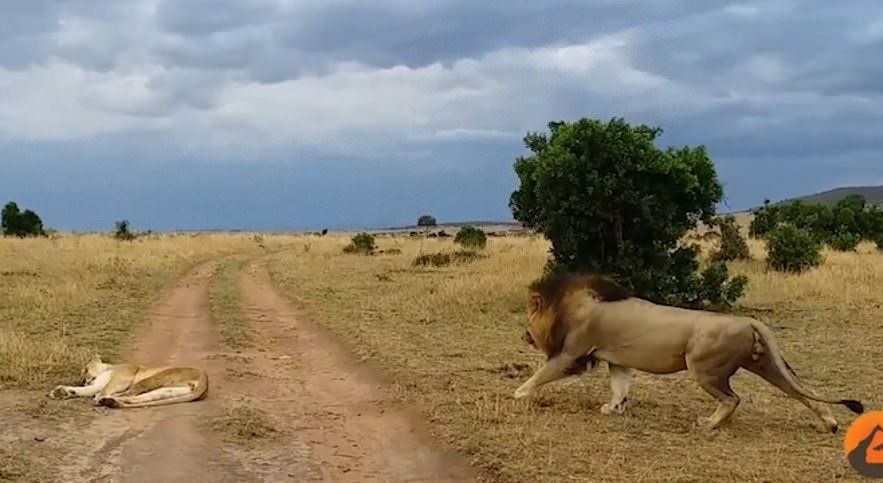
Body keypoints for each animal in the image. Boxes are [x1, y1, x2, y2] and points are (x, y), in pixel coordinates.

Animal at [50, 356, 211, 408]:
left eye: (85, 369)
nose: (83, 380)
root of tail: (205, 379)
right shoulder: (97, 385)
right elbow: (84, 390)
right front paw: (63, 391)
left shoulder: (122, 377)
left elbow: (105, 388)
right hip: (165, 391)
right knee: (136, 398)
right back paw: (111, 401)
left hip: (154, 378)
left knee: (130, 393)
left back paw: (106, 400)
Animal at [516, 272, 868, 434]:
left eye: (527, 320)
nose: (524, 335)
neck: (568, 306)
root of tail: (749, 320)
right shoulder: (617, 361)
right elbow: (620, 387)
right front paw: (613, 409)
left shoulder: (571, 352)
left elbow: (541, 374)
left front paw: (518, 395)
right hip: (764, 363)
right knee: (800, 392)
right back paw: (830, 423)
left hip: (704, 368)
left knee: (733, 399)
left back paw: (709, 424)